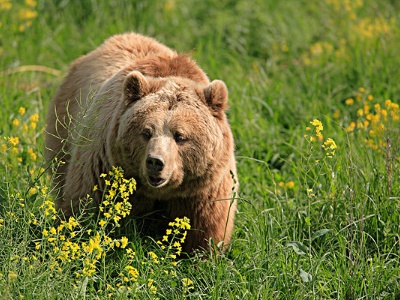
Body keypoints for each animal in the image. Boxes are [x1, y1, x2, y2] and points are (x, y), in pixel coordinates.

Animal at [44, 31, 238, 252]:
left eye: (180, 136)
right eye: (146, 132)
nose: (155, 161)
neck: (160, 193)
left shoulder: (202, 193)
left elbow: (203, 233)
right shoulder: (102, 167)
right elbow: (85, 207)